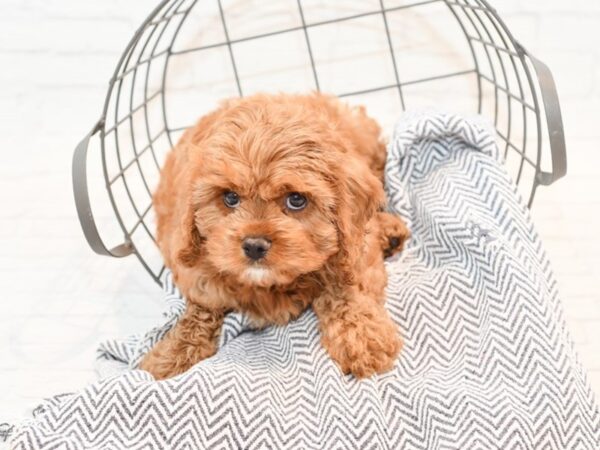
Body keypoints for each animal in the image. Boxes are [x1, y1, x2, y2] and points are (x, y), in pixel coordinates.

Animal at [140, 92, 410, 380]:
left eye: (296, 200)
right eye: (230, 197)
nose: (254, 246)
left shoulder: (354, 248)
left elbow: (344, 287)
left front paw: (361, 337)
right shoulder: (194, 267)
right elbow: (202, 309)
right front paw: (171, 357)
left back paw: (391, 232)